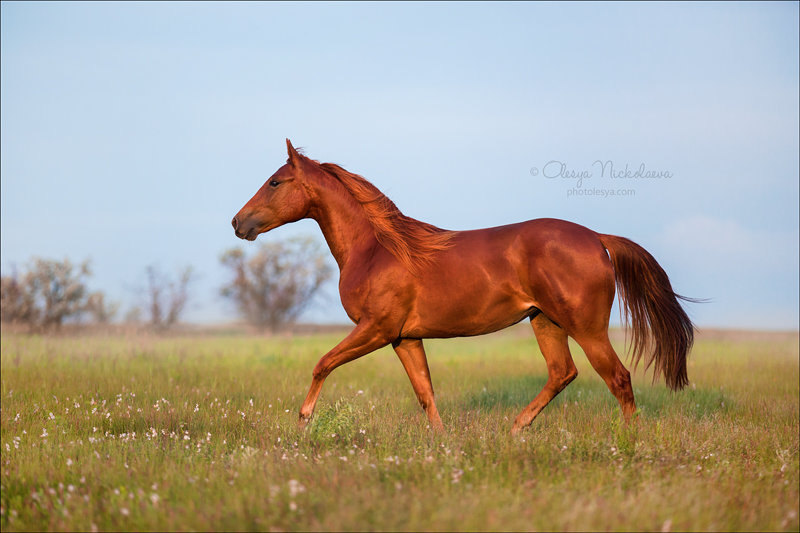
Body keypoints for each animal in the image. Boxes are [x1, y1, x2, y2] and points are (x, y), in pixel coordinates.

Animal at [231, 140, 692, 432]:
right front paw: (442, 443)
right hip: (545, 321)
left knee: (618, 378)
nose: (238, 222)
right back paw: (516, 428)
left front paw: (303, 423)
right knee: (563, 373)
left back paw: (627, 442)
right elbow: (425, 393)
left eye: (275, 181)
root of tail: (596, 237)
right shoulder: (403, 338)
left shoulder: (375, 329)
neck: (377, 249)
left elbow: (322, 363)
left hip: (587, 327)